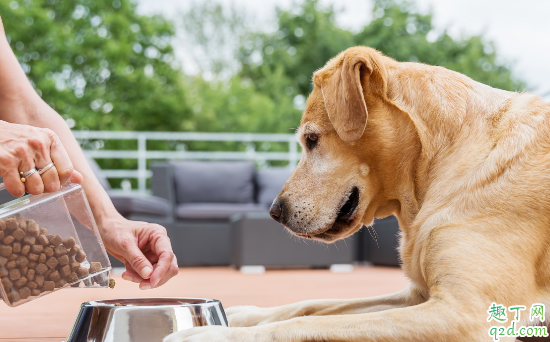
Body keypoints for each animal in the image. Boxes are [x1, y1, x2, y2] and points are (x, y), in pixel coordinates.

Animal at [166, 46, 550, 342]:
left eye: (311, 139)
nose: (275, 211)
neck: (443, 159)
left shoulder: (466, 313)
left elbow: (310, 324)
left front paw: (210, 333)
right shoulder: (419, 295)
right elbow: (312, 306)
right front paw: (243, 313)